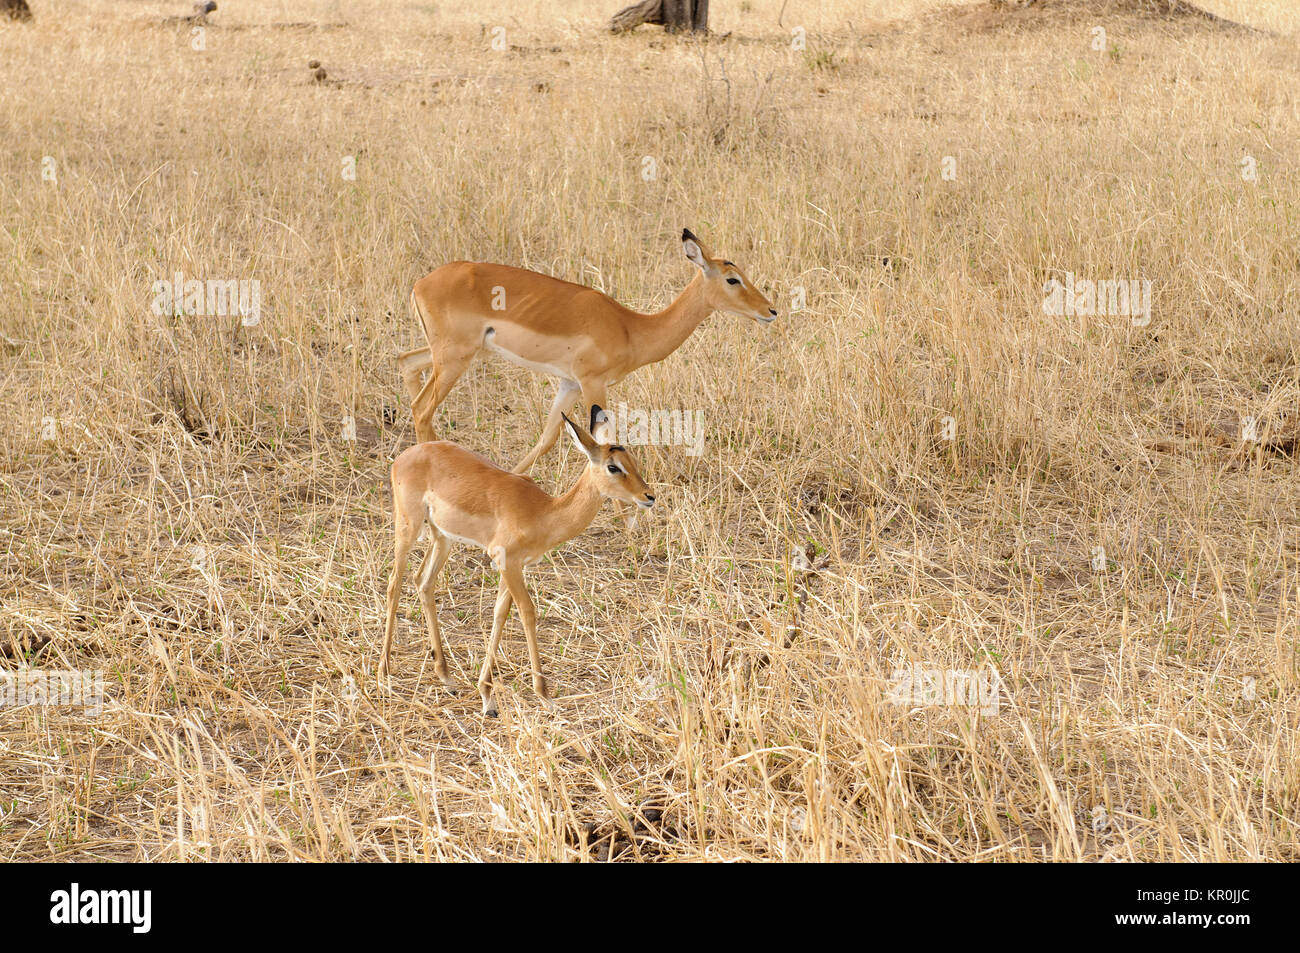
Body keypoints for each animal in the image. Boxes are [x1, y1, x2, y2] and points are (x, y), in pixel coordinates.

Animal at [380, 406, 655, 716]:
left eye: (633, 461)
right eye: (613, 467)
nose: (649, 496)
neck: (543, 511)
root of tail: (404, 456)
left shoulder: (515, 566)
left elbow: (500, 613)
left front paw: (486, 695)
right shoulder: (506, 562)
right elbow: (527, 613)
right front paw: (544, 695)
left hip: (442, 537)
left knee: (423, 582)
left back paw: (446, 676)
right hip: (408, 527)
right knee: (394, 584)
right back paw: (384, 673)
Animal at [398, 228, 778, 472]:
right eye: (732, 279)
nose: (771, 311)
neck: (630, 327)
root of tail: (420, 284)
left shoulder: (569, 384)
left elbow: (548, 438)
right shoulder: (593, 383)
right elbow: (606, 440)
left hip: (452, 353)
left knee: (406, 363)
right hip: (455, 359)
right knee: (421, 409)